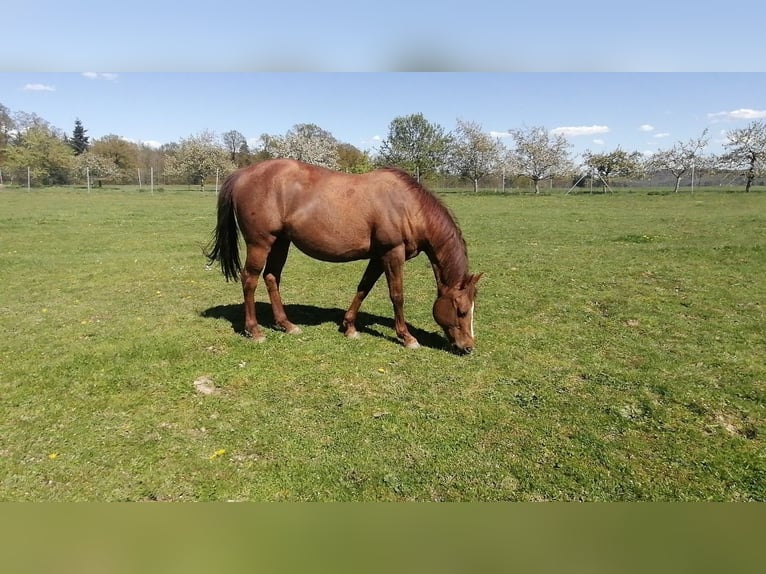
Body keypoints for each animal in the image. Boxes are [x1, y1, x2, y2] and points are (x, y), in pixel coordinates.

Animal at [204, 160, 480, 354]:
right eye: (462, 310)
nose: (468, 346)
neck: (407, 205)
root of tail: (242, 174)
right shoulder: (392, 253)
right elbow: (397, 295)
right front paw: (407, 337)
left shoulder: (378, 257)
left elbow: (363, 288)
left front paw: (349, 327)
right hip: (260, 243)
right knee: (249, 279)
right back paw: (255, 330)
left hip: (281, 242)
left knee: (272, 277)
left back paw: (287, 325)